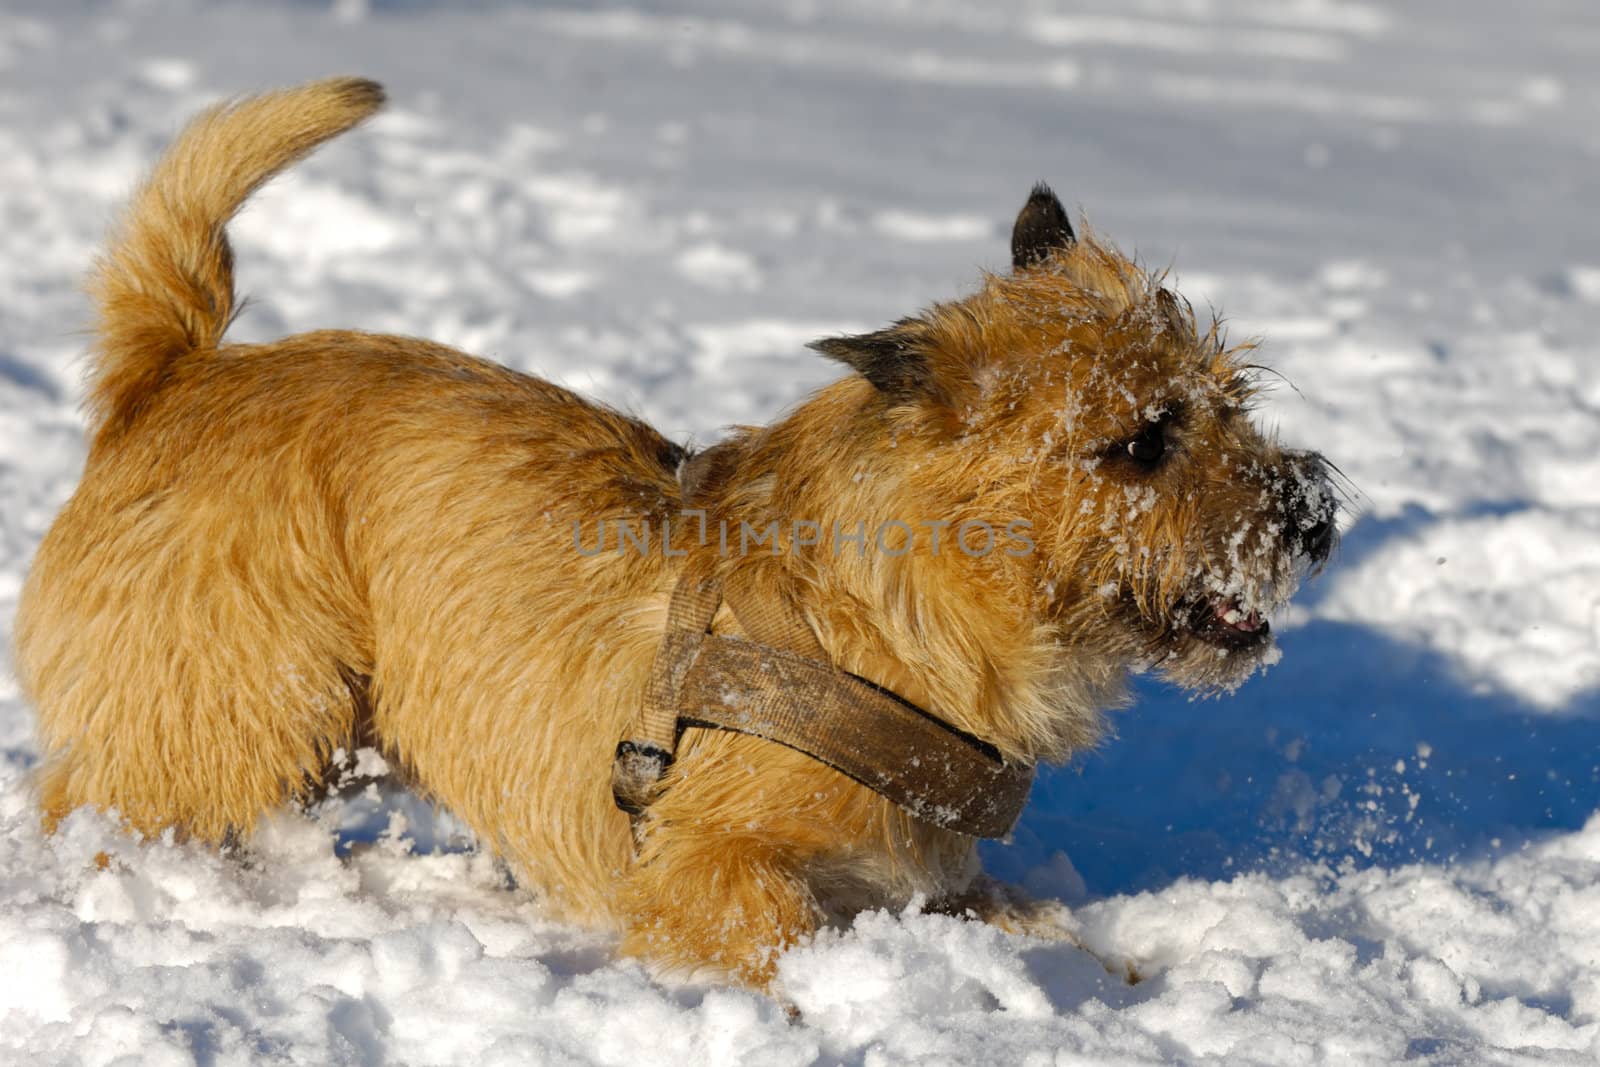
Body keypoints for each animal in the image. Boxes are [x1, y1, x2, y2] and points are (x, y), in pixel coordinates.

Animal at [12, 79, 1337, 991]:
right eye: (1140, 442)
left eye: (1230, 397)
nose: (1312, 515)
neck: (884, 622)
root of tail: (175, 373)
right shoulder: (708, 867)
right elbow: (772, 931)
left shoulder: (931, 879)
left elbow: (1035, 919)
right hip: (244, 698)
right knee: (98, 797)